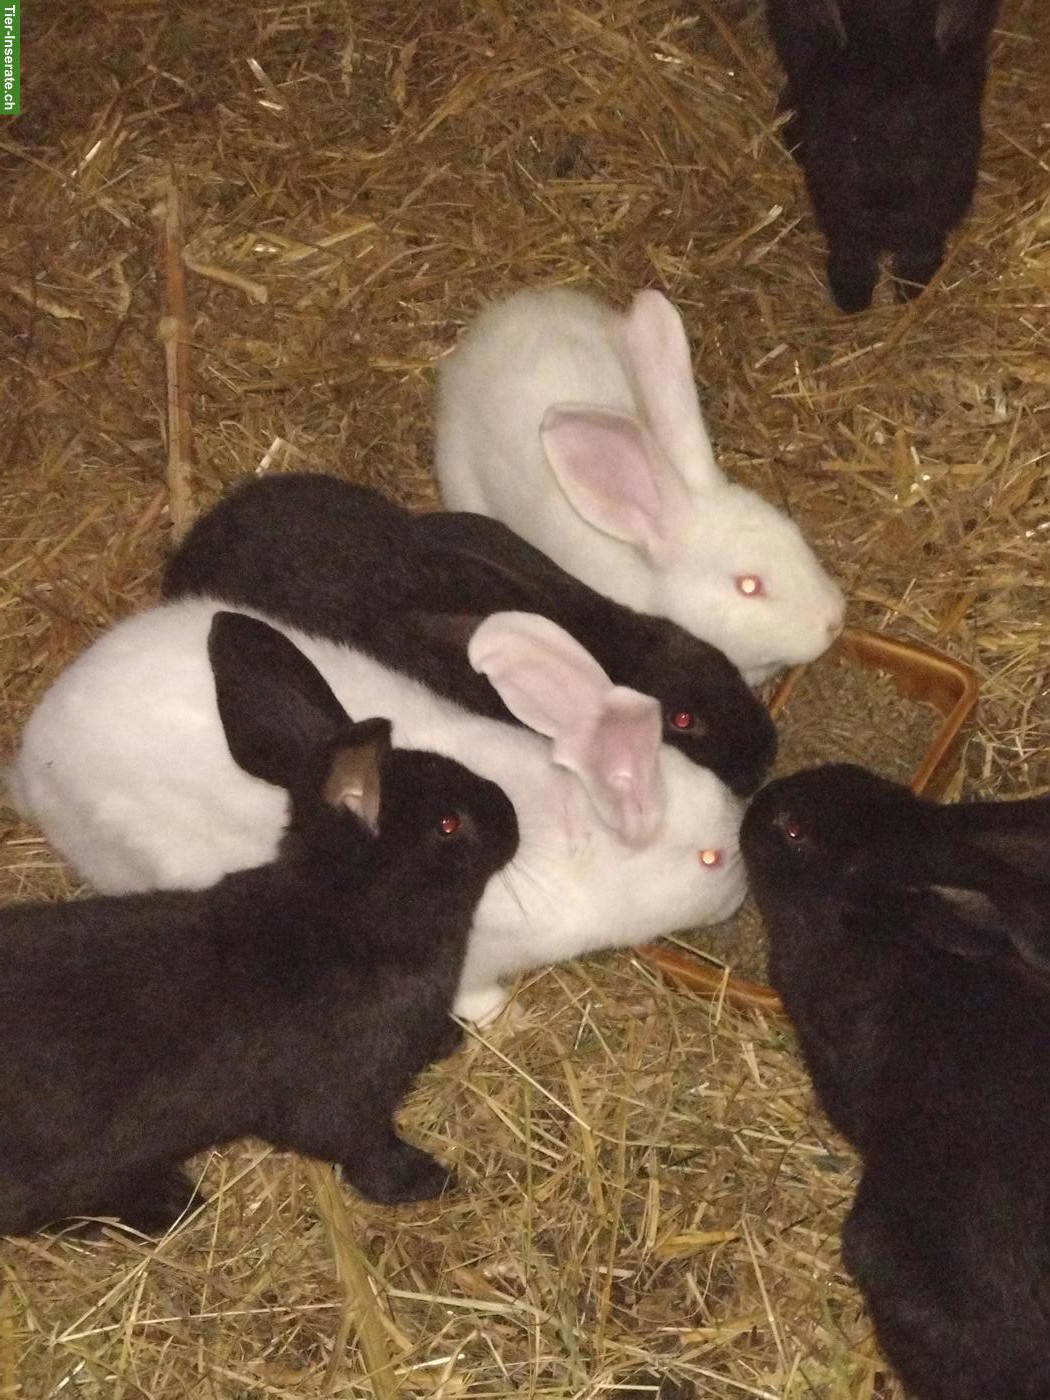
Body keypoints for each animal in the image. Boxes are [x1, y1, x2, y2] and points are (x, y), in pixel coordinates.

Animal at [0, 610, 520, 1238]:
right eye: (448, 825)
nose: (511, 817)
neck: (350, 918)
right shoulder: (337, 1099)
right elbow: (361, 1148)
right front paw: (426, 1179)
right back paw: (170, 1203)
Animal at [10, 604, 746, 1028]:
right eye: (709, 859)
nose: (741, 897)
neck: (576, 832)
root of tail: (36, 753)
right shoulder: (471, 956)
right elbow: (474, 998)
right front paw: (508, 1019)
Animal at [765, 0, 1001, 313]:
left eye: (925, 136)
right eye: (851, 136)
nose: (883, 205)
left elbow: (921, 243)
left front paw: (911, 286)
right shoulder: (835, 195)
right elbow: (851, 245)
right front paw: (851, 295)